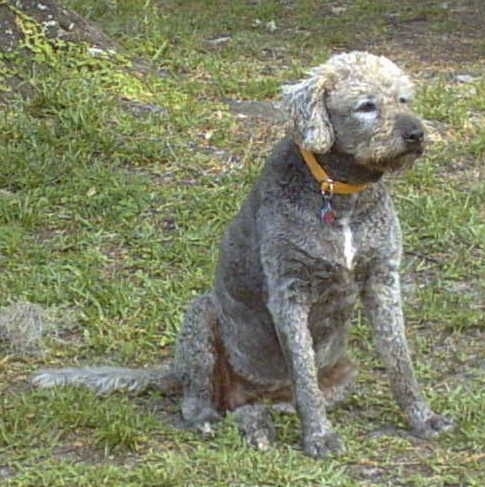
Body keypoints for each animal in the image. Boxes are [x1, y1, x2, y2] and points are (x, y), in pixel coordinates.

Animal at [34, 51, 454, 460]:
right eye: (366, 105)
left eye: (404, 99)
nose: (416, 134)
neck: (340, 196)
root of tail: (174, 370)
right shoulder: (289, 293)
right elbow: (304, 374)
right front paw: (319, 437)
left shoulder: (382, 281)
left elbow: (400, 361)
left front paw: (423, 418)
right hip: (202, 319)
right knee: (202, 401)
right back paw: (221, 420)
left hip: (338, 374)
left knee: (267, 407)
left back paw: (260, 424)